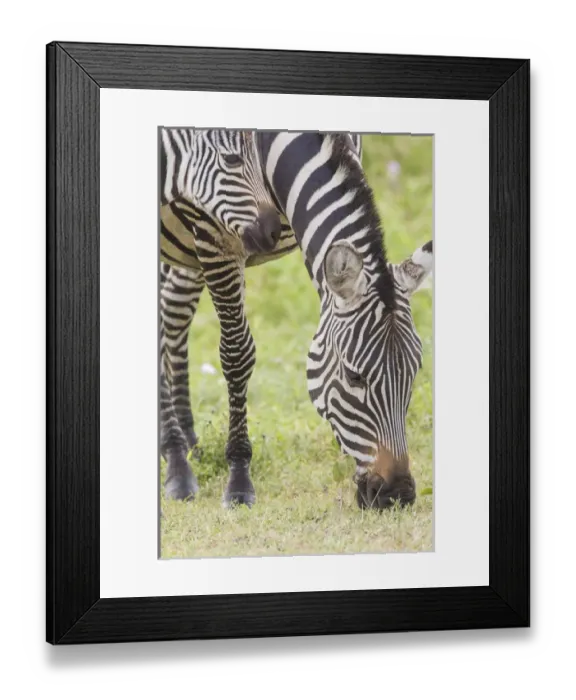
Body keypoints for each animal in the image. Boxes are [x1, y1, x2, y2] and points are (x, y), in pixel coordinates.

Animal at [160, 129, 432, 510]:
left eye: (414, 371)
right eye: (354, 376)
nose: (397, 496)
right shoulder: (215, 236)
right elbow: (237, 353)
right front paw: (239, 477)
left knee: (173, 310)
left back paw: (187, 443)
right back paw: (176, 460)